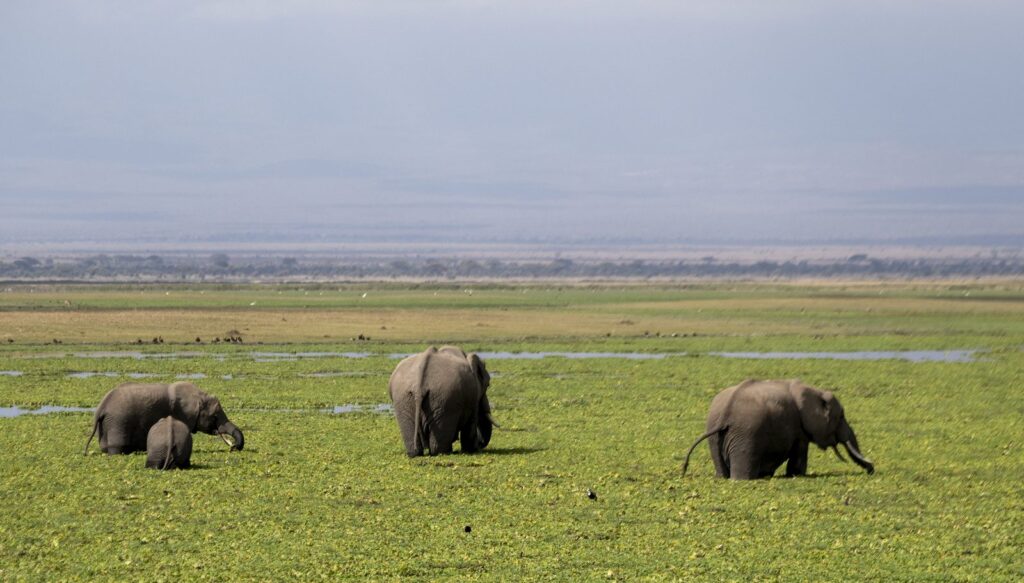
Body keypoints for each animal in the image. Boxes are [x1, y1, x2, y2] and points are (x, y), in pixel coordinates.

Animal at [84, 381, 244, 455]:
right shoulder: (180, 413)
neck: (198, 396)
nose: (233, 447)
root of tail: (102, 408)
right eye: (215, 416)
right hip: (118, 421)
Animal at [682, 379, 874, 479]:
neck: (814, 390)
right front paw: (796, 475)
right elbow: (799, 453)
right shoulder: (799, 427)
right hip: (746, 434)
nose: (871, 471)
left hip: (714, 433)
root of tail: (725, 413)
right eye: (841, 416)